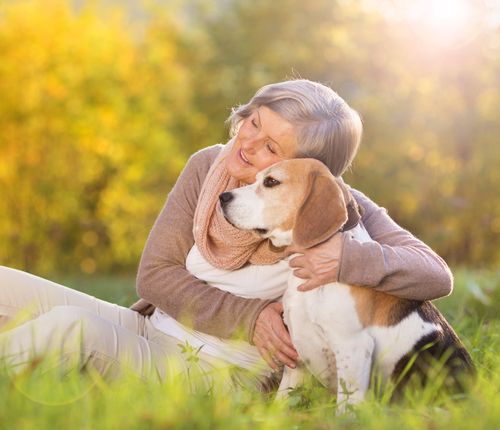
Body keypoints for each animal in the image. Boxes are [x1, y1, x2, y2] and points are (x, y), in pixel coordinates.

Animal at [221, 157, 474, 410]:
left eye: (271, 182)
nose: (223, 197)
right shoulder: (297, 355)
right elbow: (283, 400)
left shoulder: (353, 347)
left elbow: (345, 407)